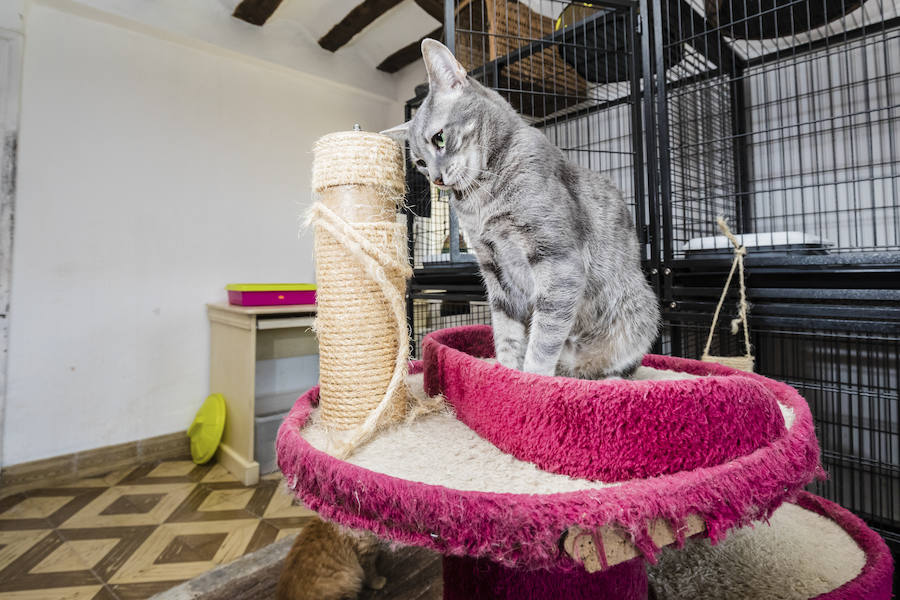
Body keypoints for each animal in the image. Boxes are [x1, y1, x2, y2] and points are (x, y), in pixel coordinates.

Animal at [384, 41, 656, 380]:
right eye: (419, 162)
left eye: (440, 138)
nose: (435, 178)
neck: (479, 200)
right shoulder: (496, 273)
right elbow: (507, 334)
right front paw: (505, 373)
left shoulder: (559, 260)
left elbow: (544, 339)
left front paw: (532, 380)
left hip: (639, 315)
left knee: (618, 366)